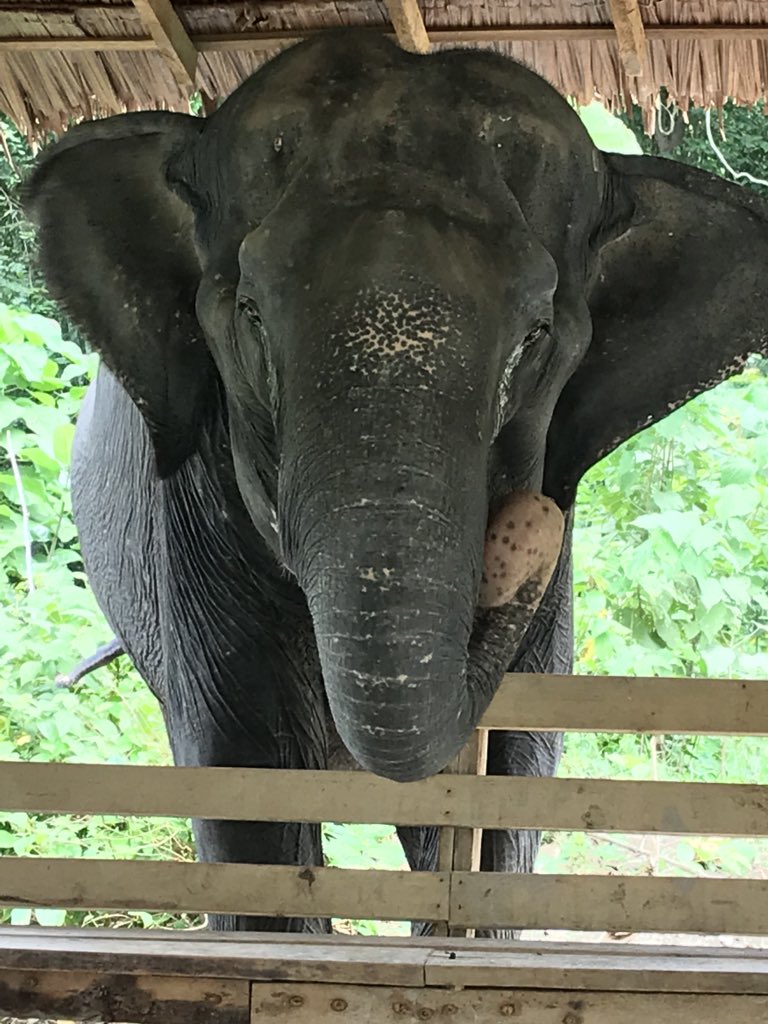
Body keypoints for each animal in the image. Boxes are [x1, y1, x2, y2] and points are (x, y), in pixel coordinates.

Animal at [25, 28, 768, 935]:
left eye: (536, 337)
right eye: (251, 316)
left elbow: (505, 791)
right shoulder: (193, 515)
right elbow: (247, 797)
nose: (532, 521)